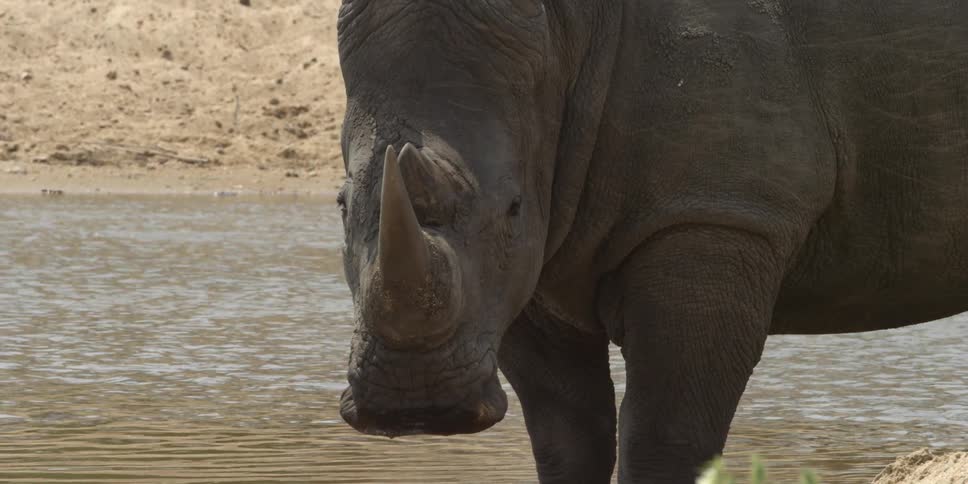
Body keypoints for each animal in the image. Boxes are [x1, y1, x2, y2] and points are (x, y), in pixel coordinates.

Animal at [334, 0, 968, 482]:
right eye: (340, 205)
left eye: (512, 209)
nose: (416, 407)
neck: (568, 35)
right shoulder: (529, 264)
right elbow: (566, 435)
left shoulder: (712, 211)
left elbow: (666, 433)